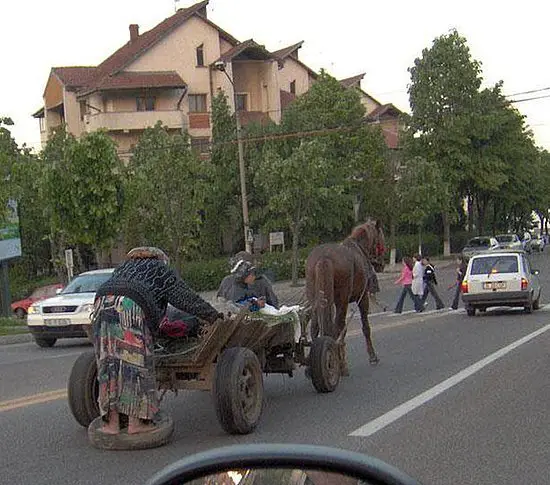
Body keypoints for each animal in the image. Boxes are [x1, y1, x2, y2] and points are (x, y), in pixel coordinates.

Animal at [306, 218, 388, 370]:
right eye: (381, 238)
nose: (381, 264)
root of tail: (324, 258)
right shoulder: (363, 298)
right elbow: (365, 327)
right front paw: (372, 356)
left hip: (315, 301)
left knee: (315, 328)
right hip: (342, 301)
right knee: (337, 327)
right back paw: (339, 364)